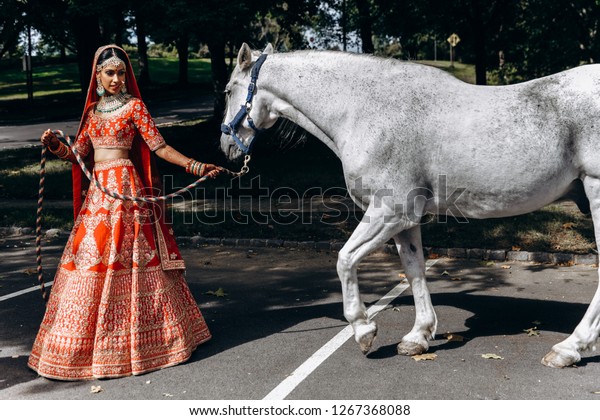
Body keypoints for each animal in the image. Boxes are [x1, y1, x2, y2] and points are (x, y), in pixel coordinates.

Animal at [220, 41, 600, 366]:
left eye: (227, 90)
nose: (226, 147)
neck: (364, 109)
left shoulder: (390, 212)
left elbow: (345, 260)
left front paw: (364, 330)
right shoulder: (406, 220)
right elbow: (415, 269)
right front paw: (418, 336)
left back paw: (569, 348)